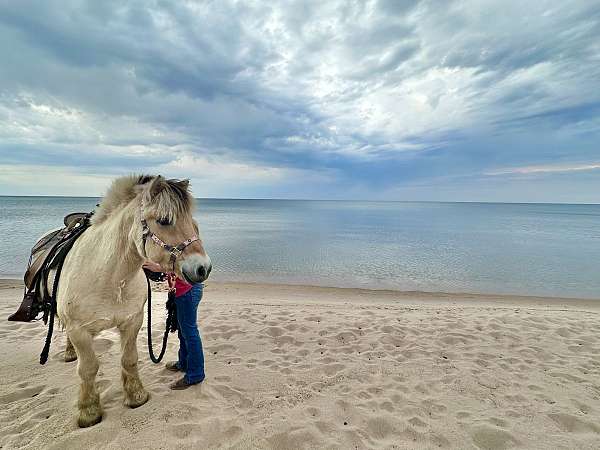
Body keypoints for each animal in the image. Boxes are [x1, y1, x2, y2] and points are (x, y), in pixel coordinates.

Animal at [56, 174, 211, 428]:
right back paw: (70, 353)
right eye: (164, 220)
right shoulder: (78, 330)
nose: (203, 268)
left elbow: (129, 359)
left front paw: (136, 396)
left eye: (192, 221)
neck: (109, 277)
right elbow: (88, 369)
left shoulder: (132, 321)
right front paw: (89, 412)